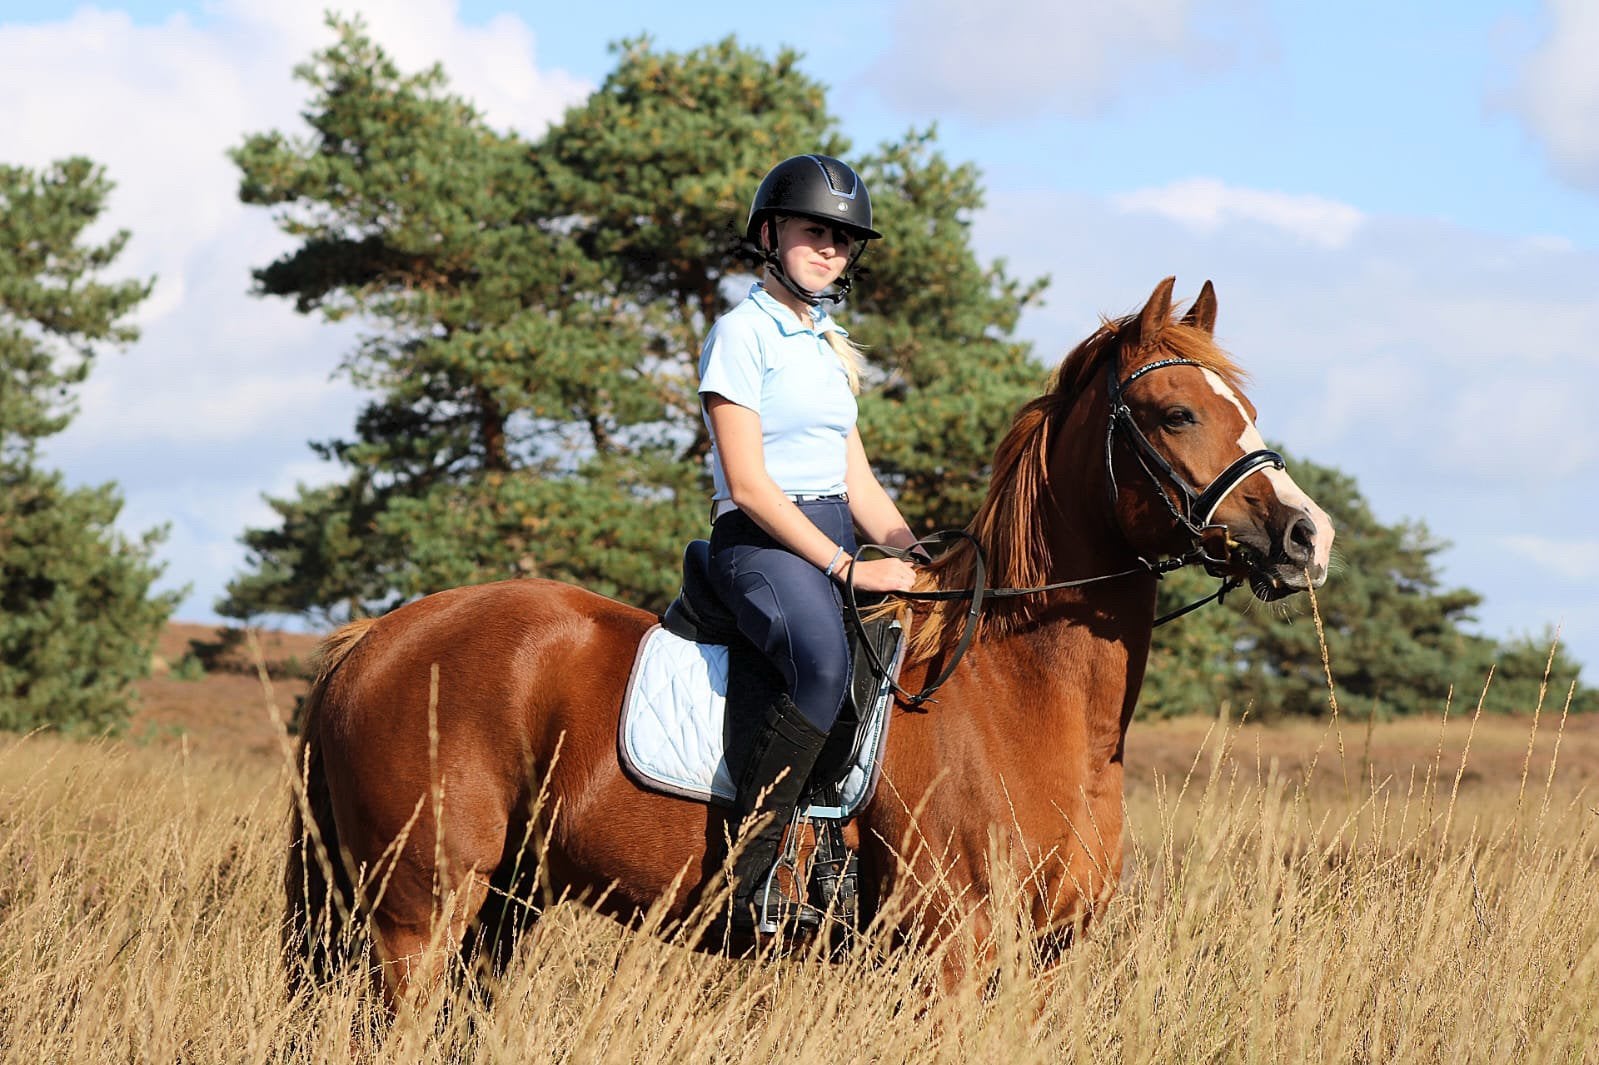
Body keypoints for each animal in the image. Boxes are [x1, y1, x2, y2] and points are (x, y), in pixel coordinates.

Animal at [284, 277, 1334, 1004]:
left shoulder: (1035, 960)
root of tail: (376, 636)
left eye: (1243, 408)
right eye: (1176, 412)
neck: (1020, 693)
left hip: (505, 903)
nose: (1305, 536)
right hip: (417, 912)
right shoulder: (953, 953)